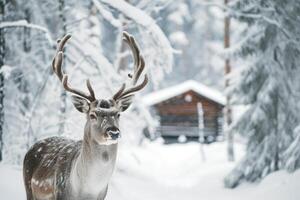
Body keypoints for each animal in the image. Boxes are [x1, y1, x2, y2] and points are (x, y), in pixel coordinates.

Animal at [22, 31, 148, 200]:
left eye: (118, 114)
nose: (113, 132)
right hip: (28, 187)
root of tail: (33, 146)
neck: (86, 192)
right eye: (93, 114)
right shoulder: (60, 194)